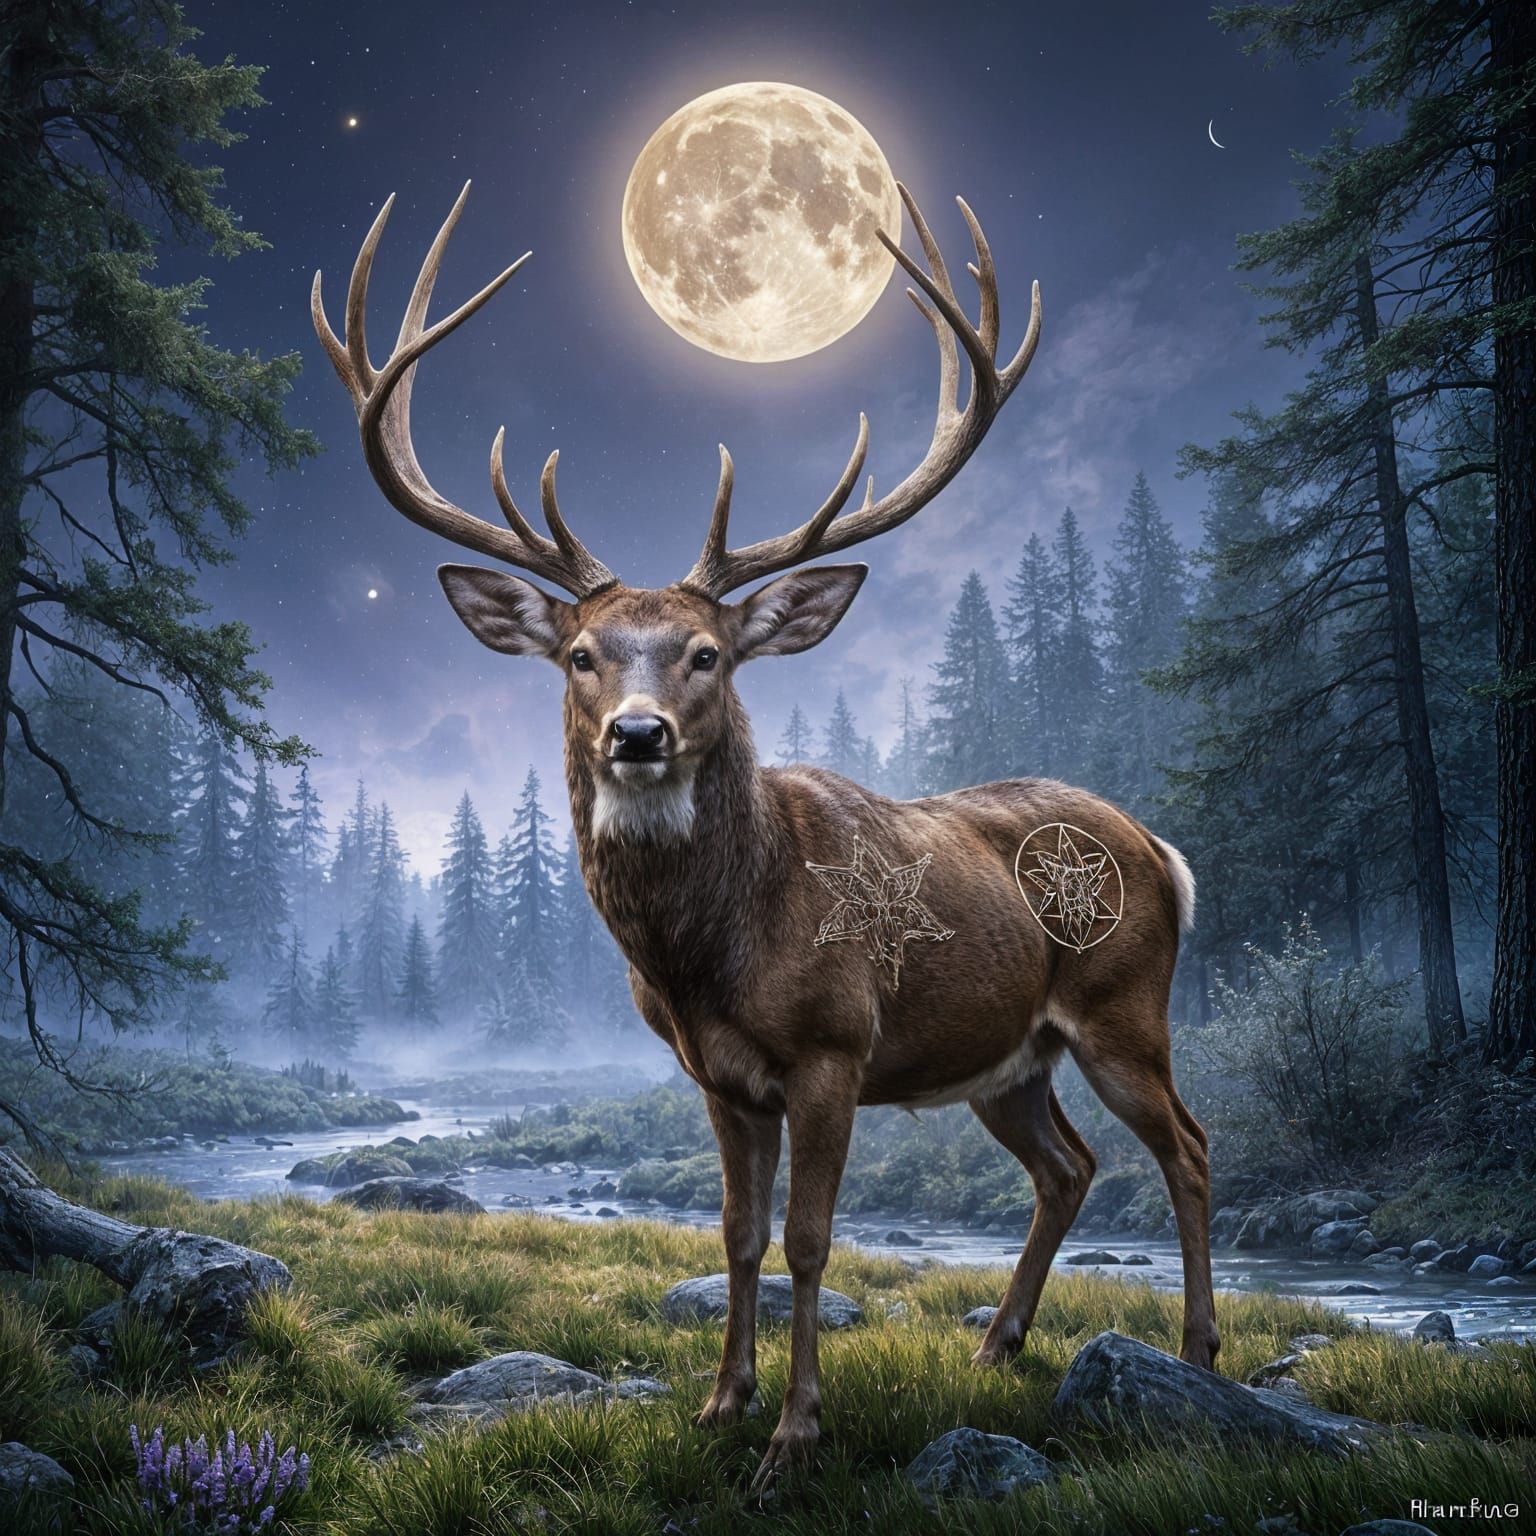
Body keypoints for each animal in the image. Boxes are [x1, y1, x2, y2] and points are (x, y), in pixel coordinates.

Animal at [313, 181, 1218, 1492]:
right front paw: (719, 1403)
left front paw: (795, 1436)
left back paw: (1199, 1353)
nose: (636, 733)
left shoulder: (834, 1048)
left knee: (1186, 1148)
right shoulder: (718, 1075)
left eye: (707, 654)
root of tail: (1164, 851)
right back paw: (999, 1345)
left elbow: (810, 1239)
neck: (711, 955)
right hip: (1011, 1056)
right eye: (580, 655)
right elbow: (737, 1235)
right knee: (1069, 1167)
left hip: (1122, 1008)